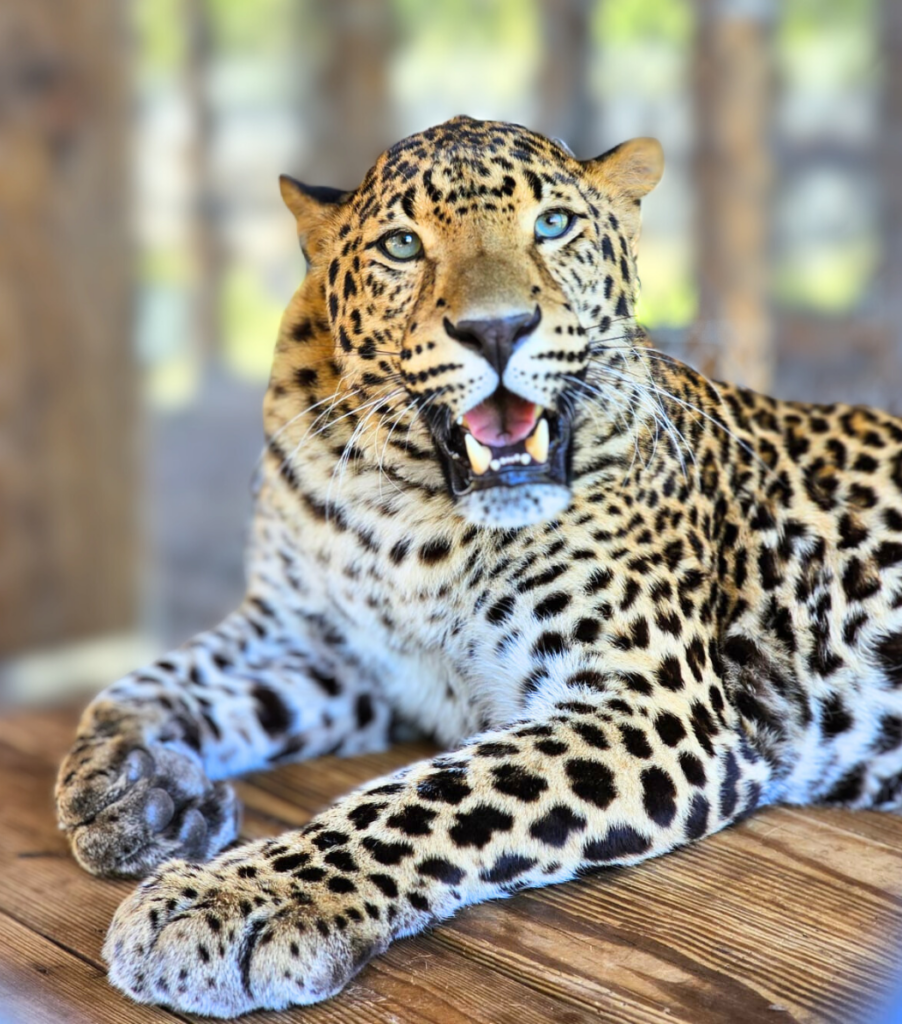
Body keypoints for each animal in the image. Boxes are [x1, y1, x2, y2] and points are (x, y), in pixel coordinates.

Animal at [55, 115, 902, 1017]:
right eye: (402, 245)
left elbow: (427, 798)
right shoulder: (323, 646)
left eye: (554, 226)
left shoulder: (651, 705)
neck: (406, 517)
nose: (497, 330)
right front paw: (131, 786)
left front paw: (234, 901)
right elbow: (147, 681)